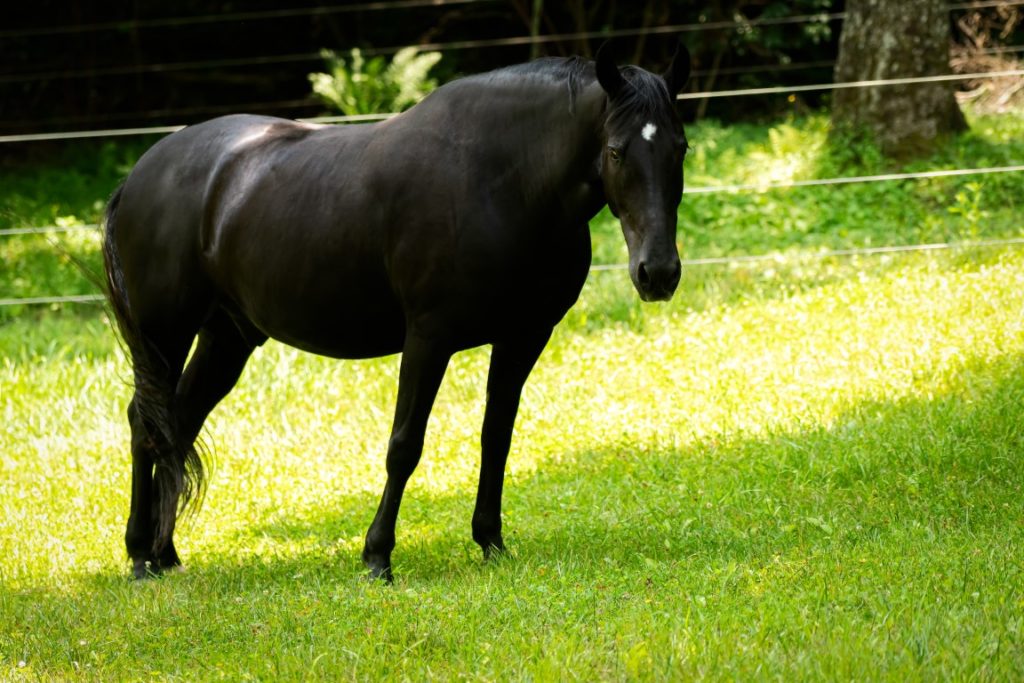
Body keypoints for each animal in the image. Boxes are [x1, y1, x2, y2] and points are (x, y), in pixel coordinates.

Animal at [103, 42, 692, 581]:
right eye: (615, 151)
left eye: (680, 149)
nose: (658, 273)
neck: (500, 181)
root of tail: (142, 173)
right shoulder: (429, 339)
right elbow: (404, 445)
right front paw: (377, 557)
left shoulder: (523, 337)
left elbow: (496, 438)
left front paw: (490, 543)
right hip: (164, 333)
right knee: (145, 422)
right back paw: (139, 555)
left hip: (226, 338)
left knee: (178, 423)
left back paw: (165, 553)